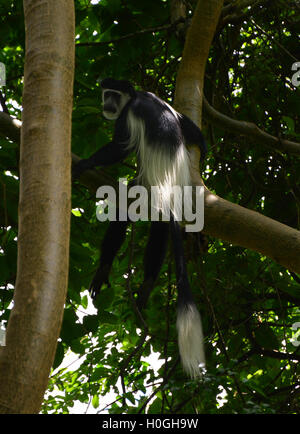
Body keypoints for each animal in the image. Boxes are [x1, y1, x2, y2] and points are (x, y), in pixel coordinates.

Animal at [74, 79, 207, 380]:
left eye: (112, 95)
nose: (106, 104)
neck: (134, 97)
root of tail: (169, 187)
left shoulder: (128, 116)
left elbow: (120, 147)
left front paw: (86, 163)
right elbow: (190, 127)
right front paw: (204, 147)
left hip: (144, 186)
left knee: (122, 213)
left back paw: (104, 269)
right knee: (160, 232)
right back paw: (147, 284)